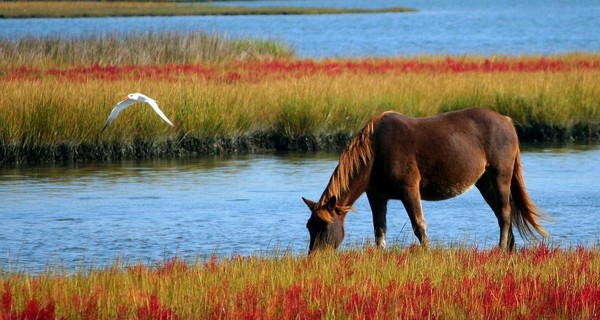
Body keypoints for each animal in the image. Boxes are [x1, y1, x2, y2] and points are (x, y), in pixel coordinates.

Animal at [304, 107, 548, 252]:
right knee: (501, 213)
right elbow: (379, 230)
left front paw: (427, 253)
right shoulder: (377, 196)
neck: (375, 152)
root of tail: (507, 121)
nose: (315, 258)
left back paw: (501, 249)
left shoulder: (409, 190)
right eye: (309, 226)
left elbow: (419, 225)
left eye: (324, 226)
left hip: (500, 176)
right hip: (485, 182)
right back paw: (509, 249)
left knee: (505, 213)